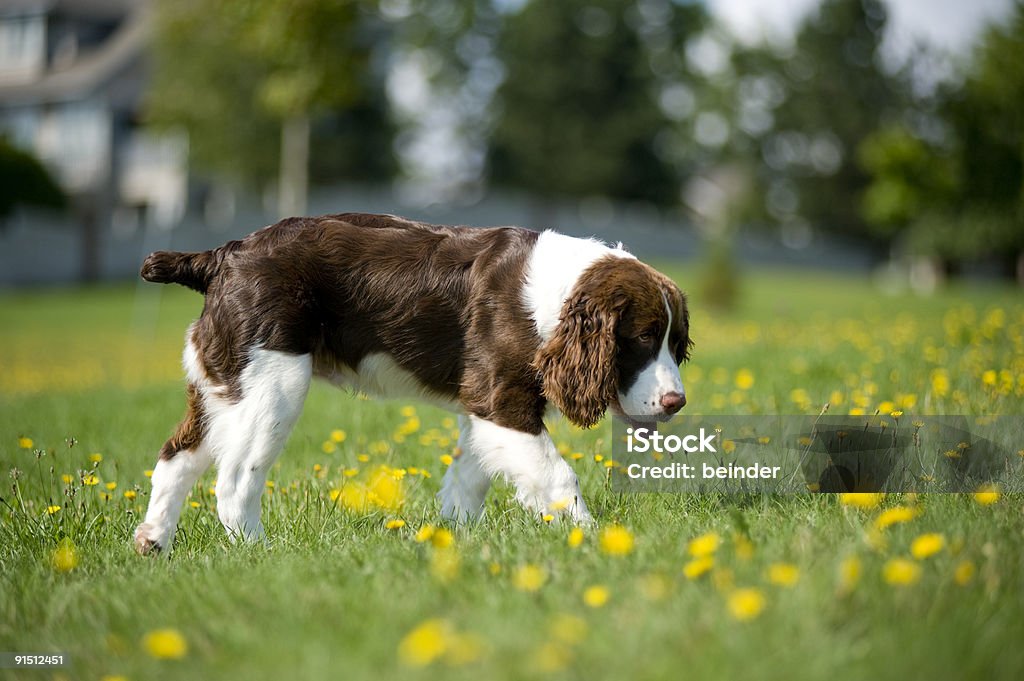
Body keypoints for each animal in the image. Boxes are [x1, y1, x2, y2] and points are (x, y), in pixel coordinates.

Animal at [132, 213, 692, 552]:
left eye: (676, 340)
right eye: (643, 337)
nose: (676, 402)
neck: (553, 301)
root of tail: (222, 256)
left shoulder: (483, 409)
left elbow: (467, 481)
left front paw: (455, 540)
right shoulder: (502, 400)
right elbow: (557, 477)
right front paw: (597, 542)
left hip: (223, 378)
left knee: (176, 456)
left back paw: (153, 541)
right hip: (272, 382)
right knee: (233, 480)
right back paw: (261, 553)